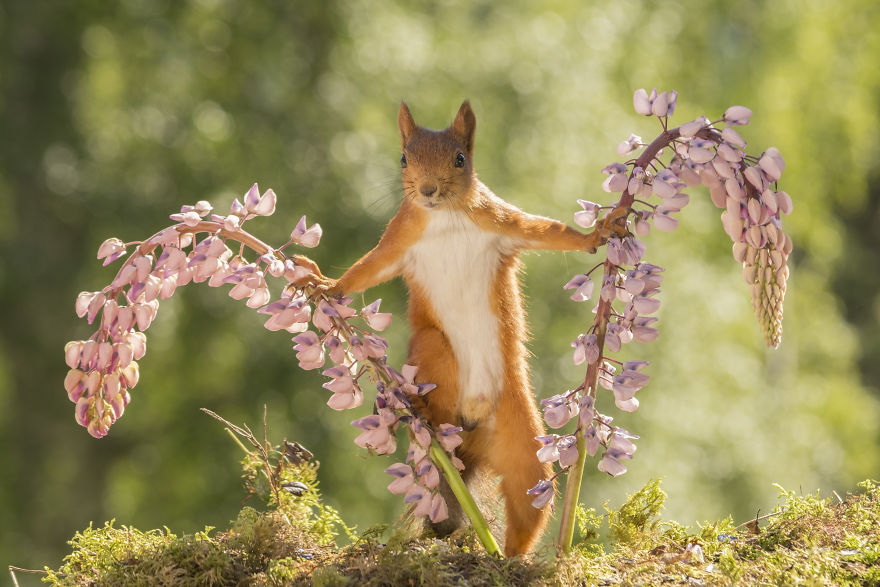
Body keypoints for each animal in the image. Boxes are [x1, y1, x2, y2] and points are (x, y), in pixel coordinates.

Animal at [302, 101, 622, 555]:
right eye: (404, 159)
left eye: (460, 159)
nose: (428, 190)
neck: (447, 218)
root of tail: (470, 428)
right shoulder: (398, 240)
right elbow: (365, 271)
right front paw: (325, 285)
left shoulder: (502, 221)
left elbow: (547, 231)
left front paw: (599, 232)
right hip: (435, 352)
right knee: (436, 398)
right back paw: (422, 413)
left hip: (523, 448)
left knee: (529, 504)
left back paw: (511, 558)